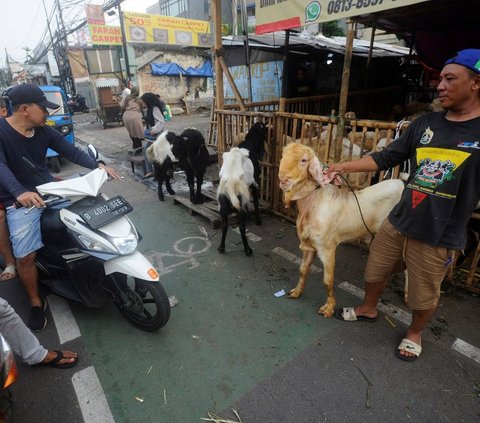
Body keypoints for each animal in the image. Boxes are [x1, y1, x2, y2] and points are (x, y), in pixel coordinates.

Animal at [278, 143, 404, 318]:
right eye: (283, 155)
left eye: (304, 160)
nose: (284, 180)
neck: (314, 203)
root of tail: (402, 183)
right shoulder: (310, 245)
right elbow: (303, 270)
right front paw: (296, 292)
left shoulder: (327, 248)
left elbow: (327, 280)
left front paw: (328, 308)